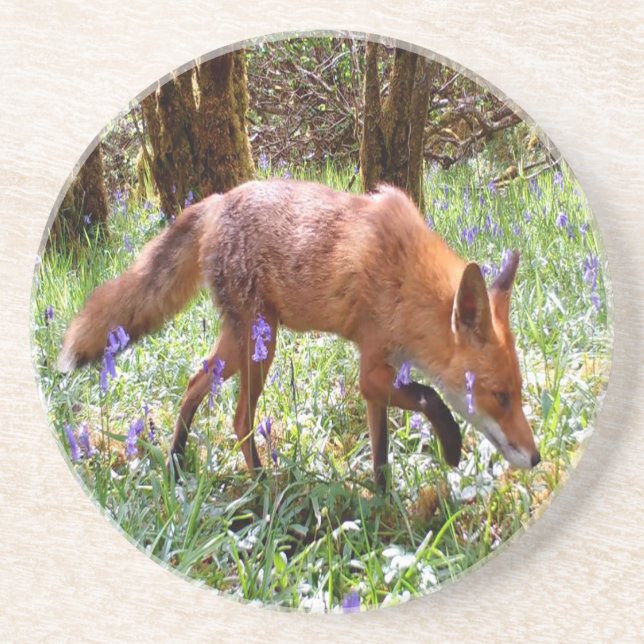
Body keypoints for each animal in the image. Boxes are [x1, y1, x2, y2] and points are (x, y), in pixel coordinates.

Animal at [58, 179, 540, 487]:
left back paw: (177, 463)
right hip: (260, 345)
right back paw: (261, 486)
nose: (536, 458)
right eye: (500, 397)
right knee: (240, 418)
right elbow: (431, 396)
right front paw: (452, 447)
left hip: (241, 342)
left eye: (519, 393)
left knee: (195, 383)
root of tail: (217, 199)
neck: (405, 277)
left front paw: (383, 506)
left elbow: (381, 455)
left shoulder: (379, 378)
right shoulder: (372, 370)